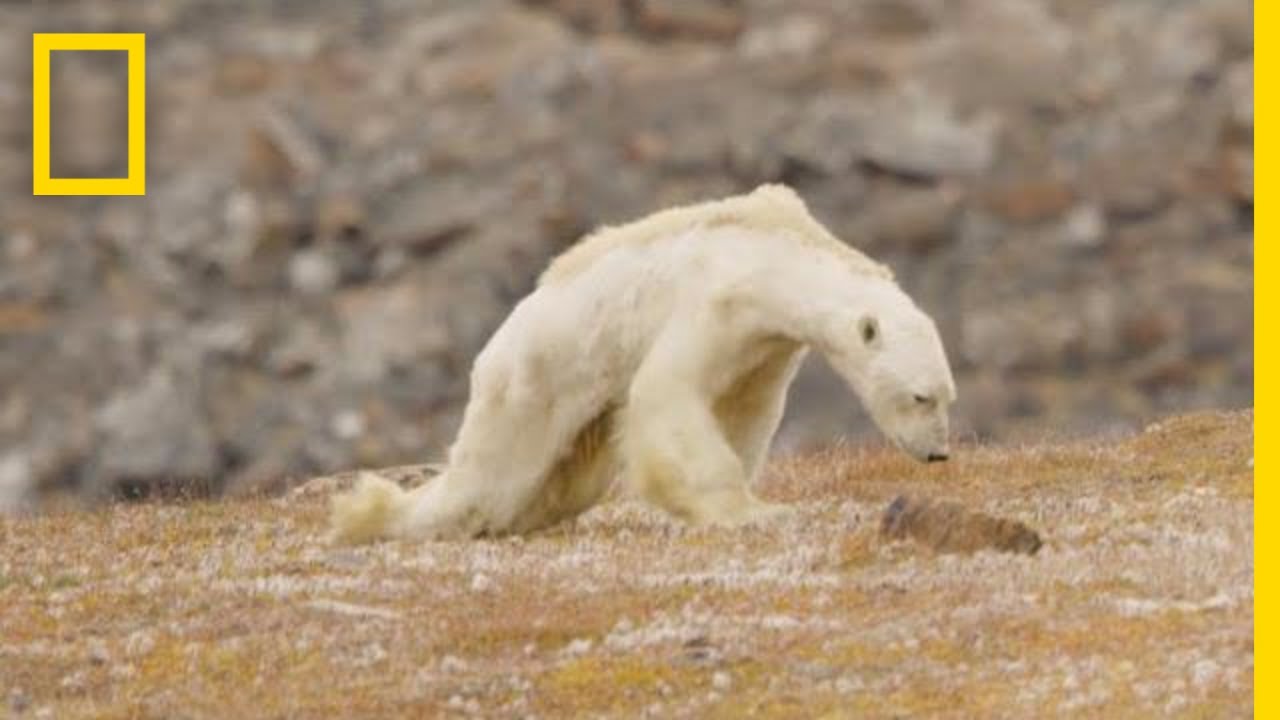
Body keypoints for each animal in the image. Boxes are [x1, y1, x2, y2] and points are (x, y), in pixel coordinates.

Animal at [331, 184, 956, 543]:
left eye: (946, 396)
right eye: (920, 396)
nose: (938, 453)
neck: (776, 253)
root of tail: (492, 350)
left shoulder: (766, 346)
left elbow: (745, 411)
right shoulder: (715, 301)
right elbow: (667, 392)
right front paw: (749, 512)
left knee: (564, 483)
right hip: (533, 380)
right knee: (490, 479)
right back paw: (373, 516)